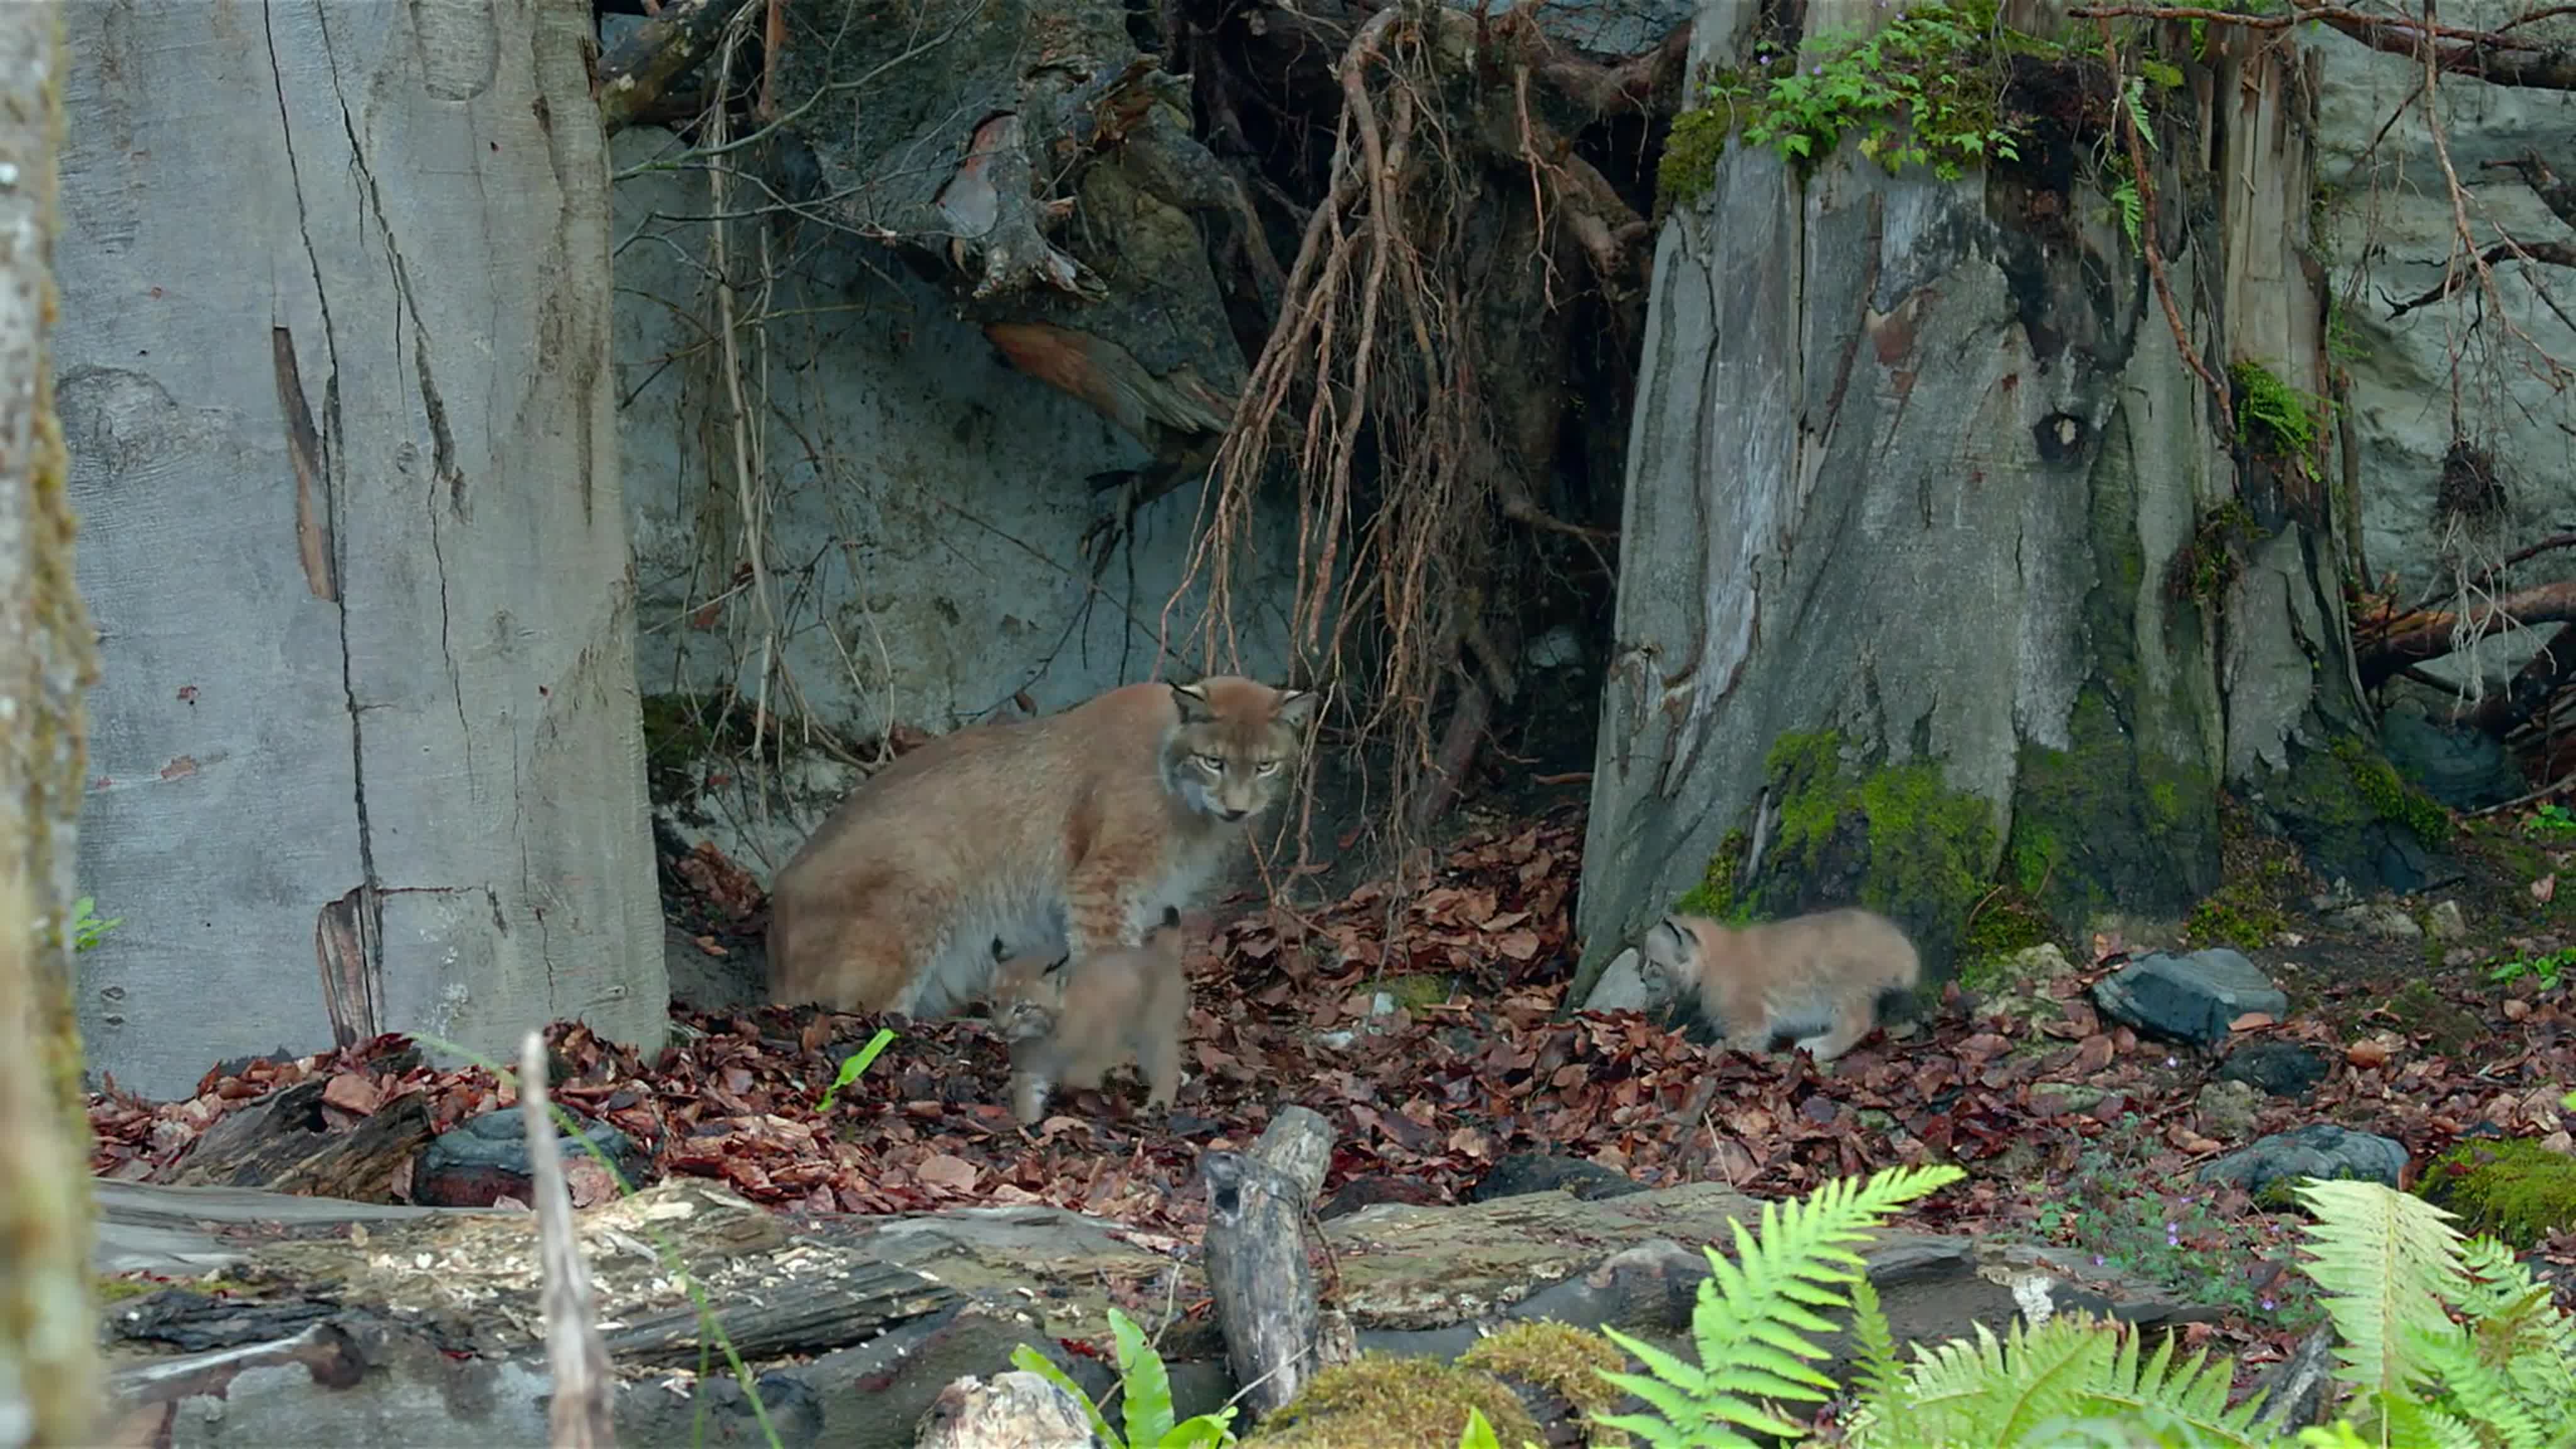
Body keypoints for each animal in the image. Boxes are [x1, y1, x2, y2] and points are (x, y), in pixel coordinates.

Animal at [762, 675, 1319, 1016]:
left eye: (1265, 766)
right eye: (1214, 762)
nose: (1238, 810)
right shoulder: (1102, 882)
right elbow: (1110, 959)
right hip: (928, 877)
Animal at [1638, 902, 1926, 1062]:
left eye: (1653, 963)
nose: (1641, 976)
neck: (1712, 960)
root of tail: (1903, 946)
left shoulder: (1749, 1024)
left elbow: (1734, 1047)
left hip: (1842, 986)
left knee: (1858, 1023)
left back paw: (1816, 1047)